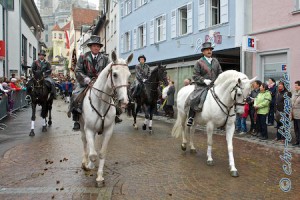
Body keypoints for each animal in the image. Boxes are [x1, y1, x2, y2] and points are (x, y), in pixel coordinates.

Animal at [79, 50, 132, 185]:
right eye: (115, 74)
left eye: (129, 75)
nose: (124, 101)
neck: (101, 104)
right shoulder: (89, 129)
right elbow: (93, 154)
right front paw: (90, 165)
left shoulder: (108, 131)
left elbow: (102, 153)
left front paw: (99, 176)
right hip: (82, 126)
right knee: (84, 142)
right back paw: (85, 162)